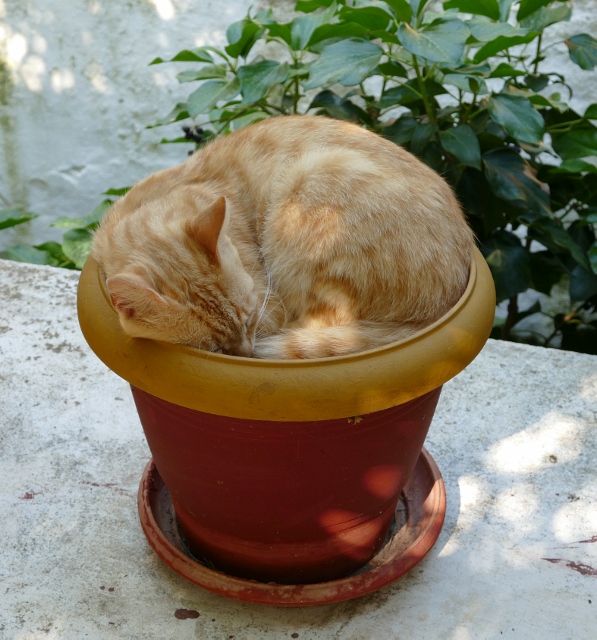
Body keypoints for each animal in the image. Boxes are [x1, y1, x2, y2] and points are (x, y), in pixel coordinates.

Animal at [91, 115, 474, 359]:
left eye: (249, 320)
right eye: (212, 349)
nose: (245, 355)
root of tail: (437, 311)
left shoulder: (269, 306)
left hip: (311, 187)